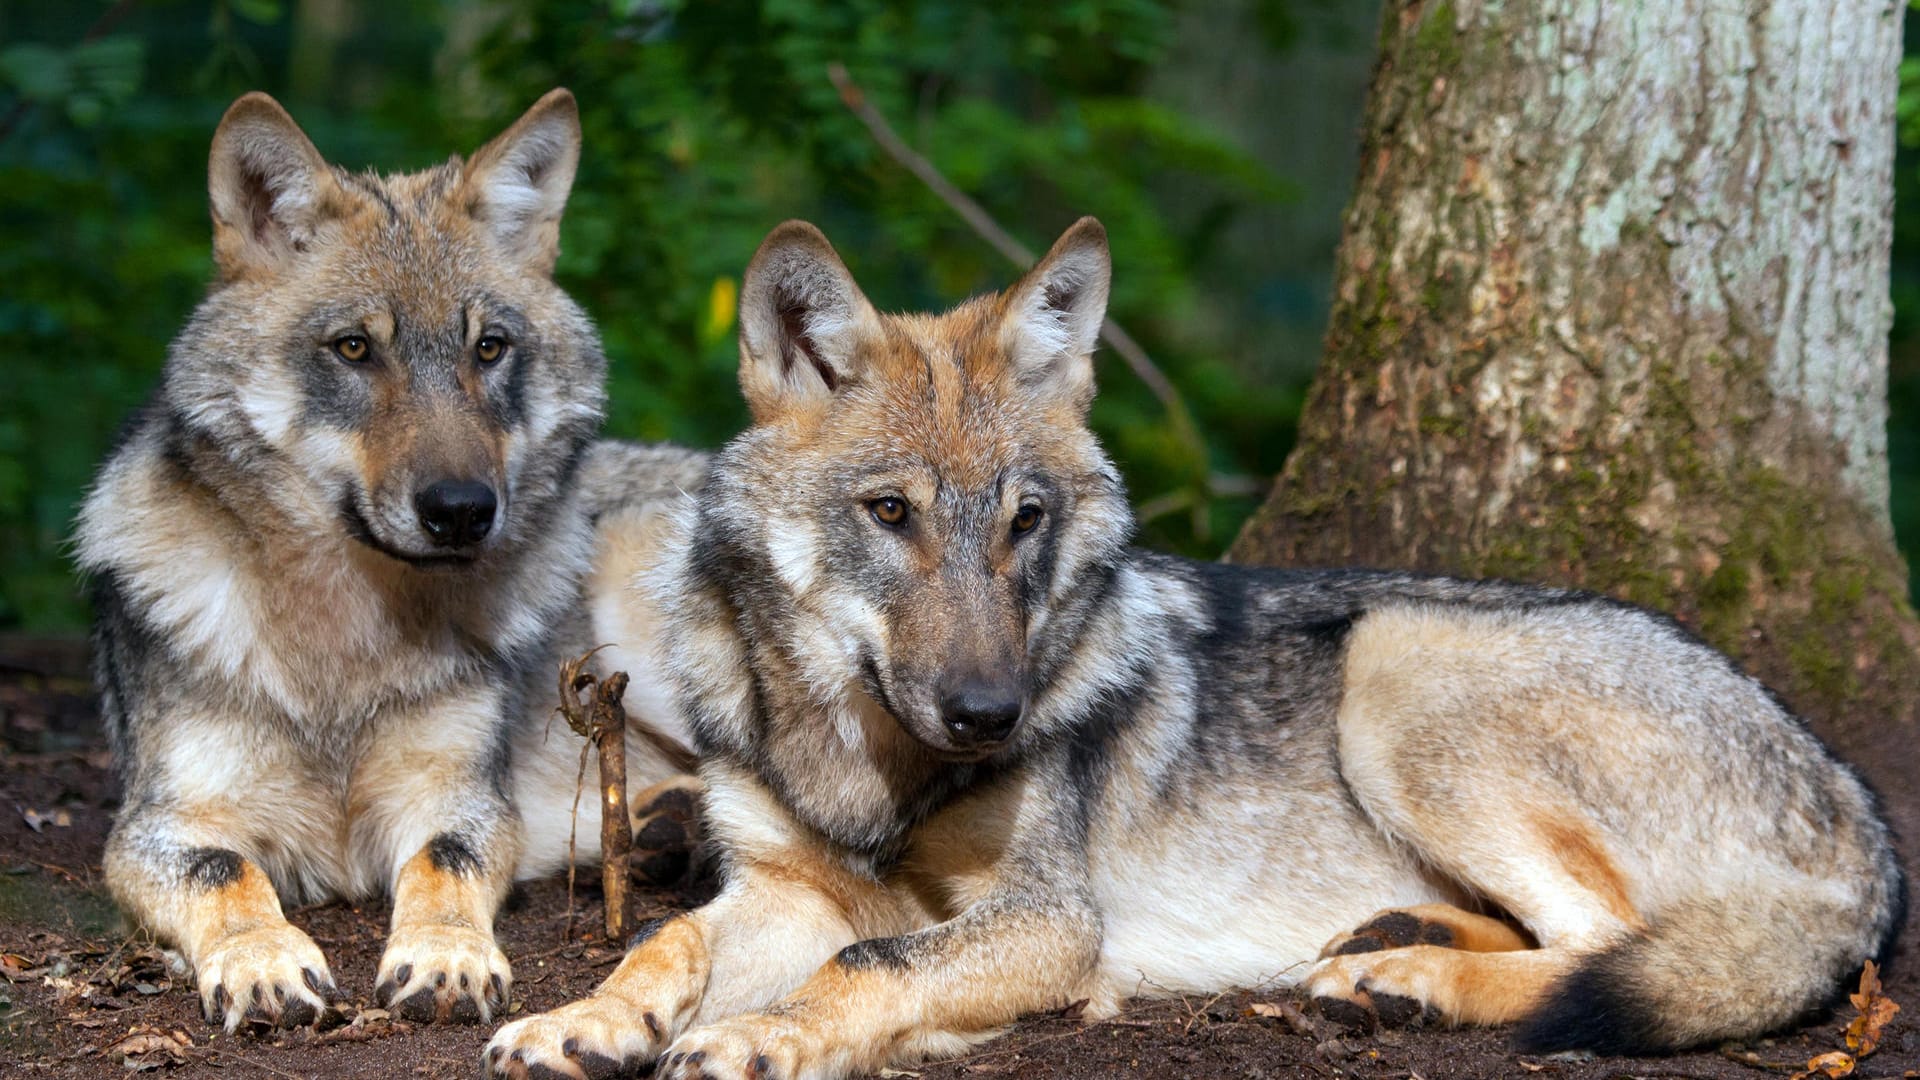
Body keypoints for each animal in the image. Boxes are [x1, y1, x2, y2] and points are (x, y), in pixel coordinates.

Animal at [76, 88, 706, 1030]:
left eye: (488, 348)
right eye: (354, 348)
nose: (462, 511)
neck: (344, 638)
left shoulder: (462, 797)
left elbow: (444, 859)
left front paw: (445, 957)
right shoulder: (159, 823)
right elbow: (226, 869)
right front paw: (262, 961)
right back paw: (665, 829)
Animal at [483, 219, 1904, 1076]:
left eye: (1025, 520)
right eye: (890, 513)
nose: (991, 714)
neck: (864, 765)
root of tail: (1865, 819)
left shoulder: (1047, 923)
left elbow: (870, 961)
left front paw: (764, 1039)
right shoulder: (785, 888)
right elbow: (664, 944)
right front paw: (581, 1018)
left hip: (1400, 667)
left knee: (1610, 949)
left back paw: (1412, 979)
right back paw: (1385, 949)